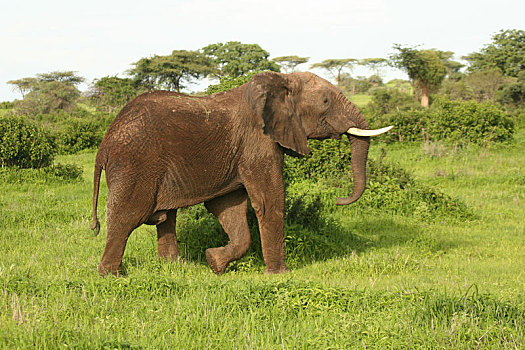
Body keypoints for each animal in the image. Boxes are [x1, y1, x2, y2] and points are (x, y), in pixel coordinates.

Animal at [92, 72, 390, 276]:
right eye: (326, 101)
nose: (339, 200)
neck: (280, 81)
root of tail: (104, 143)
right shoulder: (258, 142)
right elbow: (269, 200)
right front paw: (279, 275)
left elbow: (229, 207)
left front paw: (214, 262)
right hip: (135, 163)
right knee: (127, 215)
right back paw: (112, 276)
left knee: (166, 218)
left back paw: (175, 267)